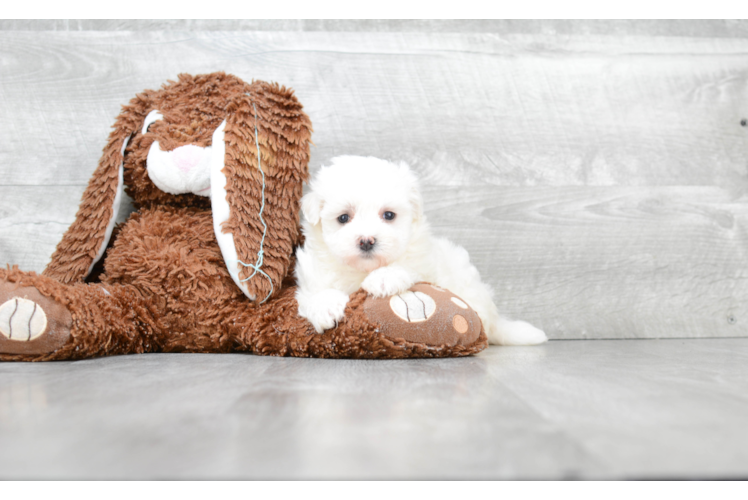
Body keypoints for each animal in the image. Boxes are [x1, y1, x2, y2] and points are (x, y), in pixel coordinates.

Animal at [296, 155, 548, 344]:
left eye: (389, 215)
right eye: (343, 218)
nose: (367, 240)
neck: (362, 270)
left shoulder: (424, 264)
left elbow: (405, 266)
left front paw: (384, 279)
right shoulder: (312, 276)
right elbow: (316, 292)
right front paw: (326, 307)